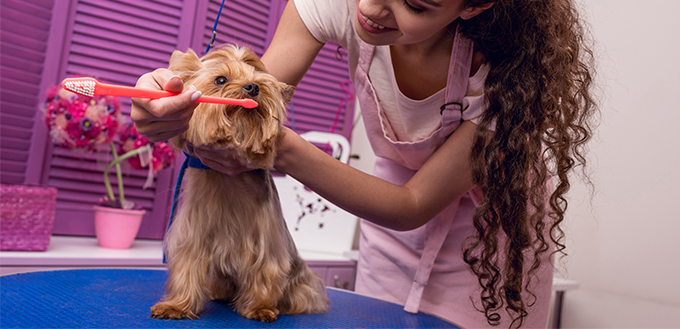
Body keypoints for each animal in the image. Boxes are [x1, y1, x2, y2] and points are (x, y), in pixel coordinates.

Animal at [149, 44, 330, 322]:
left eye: (259, 83)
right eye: (221, 80)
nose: (252, 87)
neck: (227, 180)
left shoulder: (267, 243)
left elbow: (266, 272)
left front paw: (261, 308)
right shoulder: (192, 236)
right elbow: (186, 269)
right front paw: (177, 306)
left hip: (300, 283)